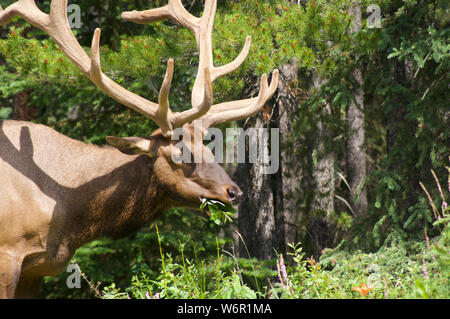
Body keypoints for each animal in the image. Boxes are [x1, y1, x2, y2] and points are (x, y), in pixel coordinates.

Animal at [0, 0, 278, 300]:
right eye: (180, 153)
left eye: (209, 150)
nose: (234, 192)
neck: (68, 212)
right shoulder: (8, 254)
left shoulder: (36, 270)